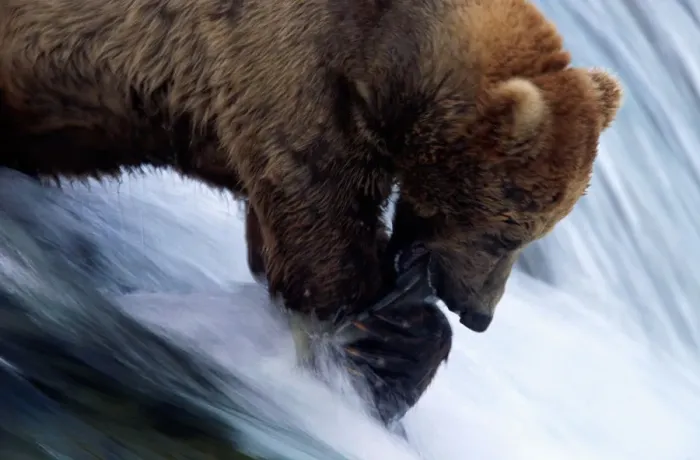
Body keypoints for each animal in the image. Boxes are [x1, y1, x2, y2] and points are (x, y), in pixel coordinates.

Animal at [0, 0, 622, 424]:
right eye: (507, 232)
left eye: (540, 231)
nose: (480, 314)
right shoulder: (286, 69)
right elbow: (317, 228)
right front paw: (392, 337)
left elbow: (277, 240)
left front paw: (393, 336)